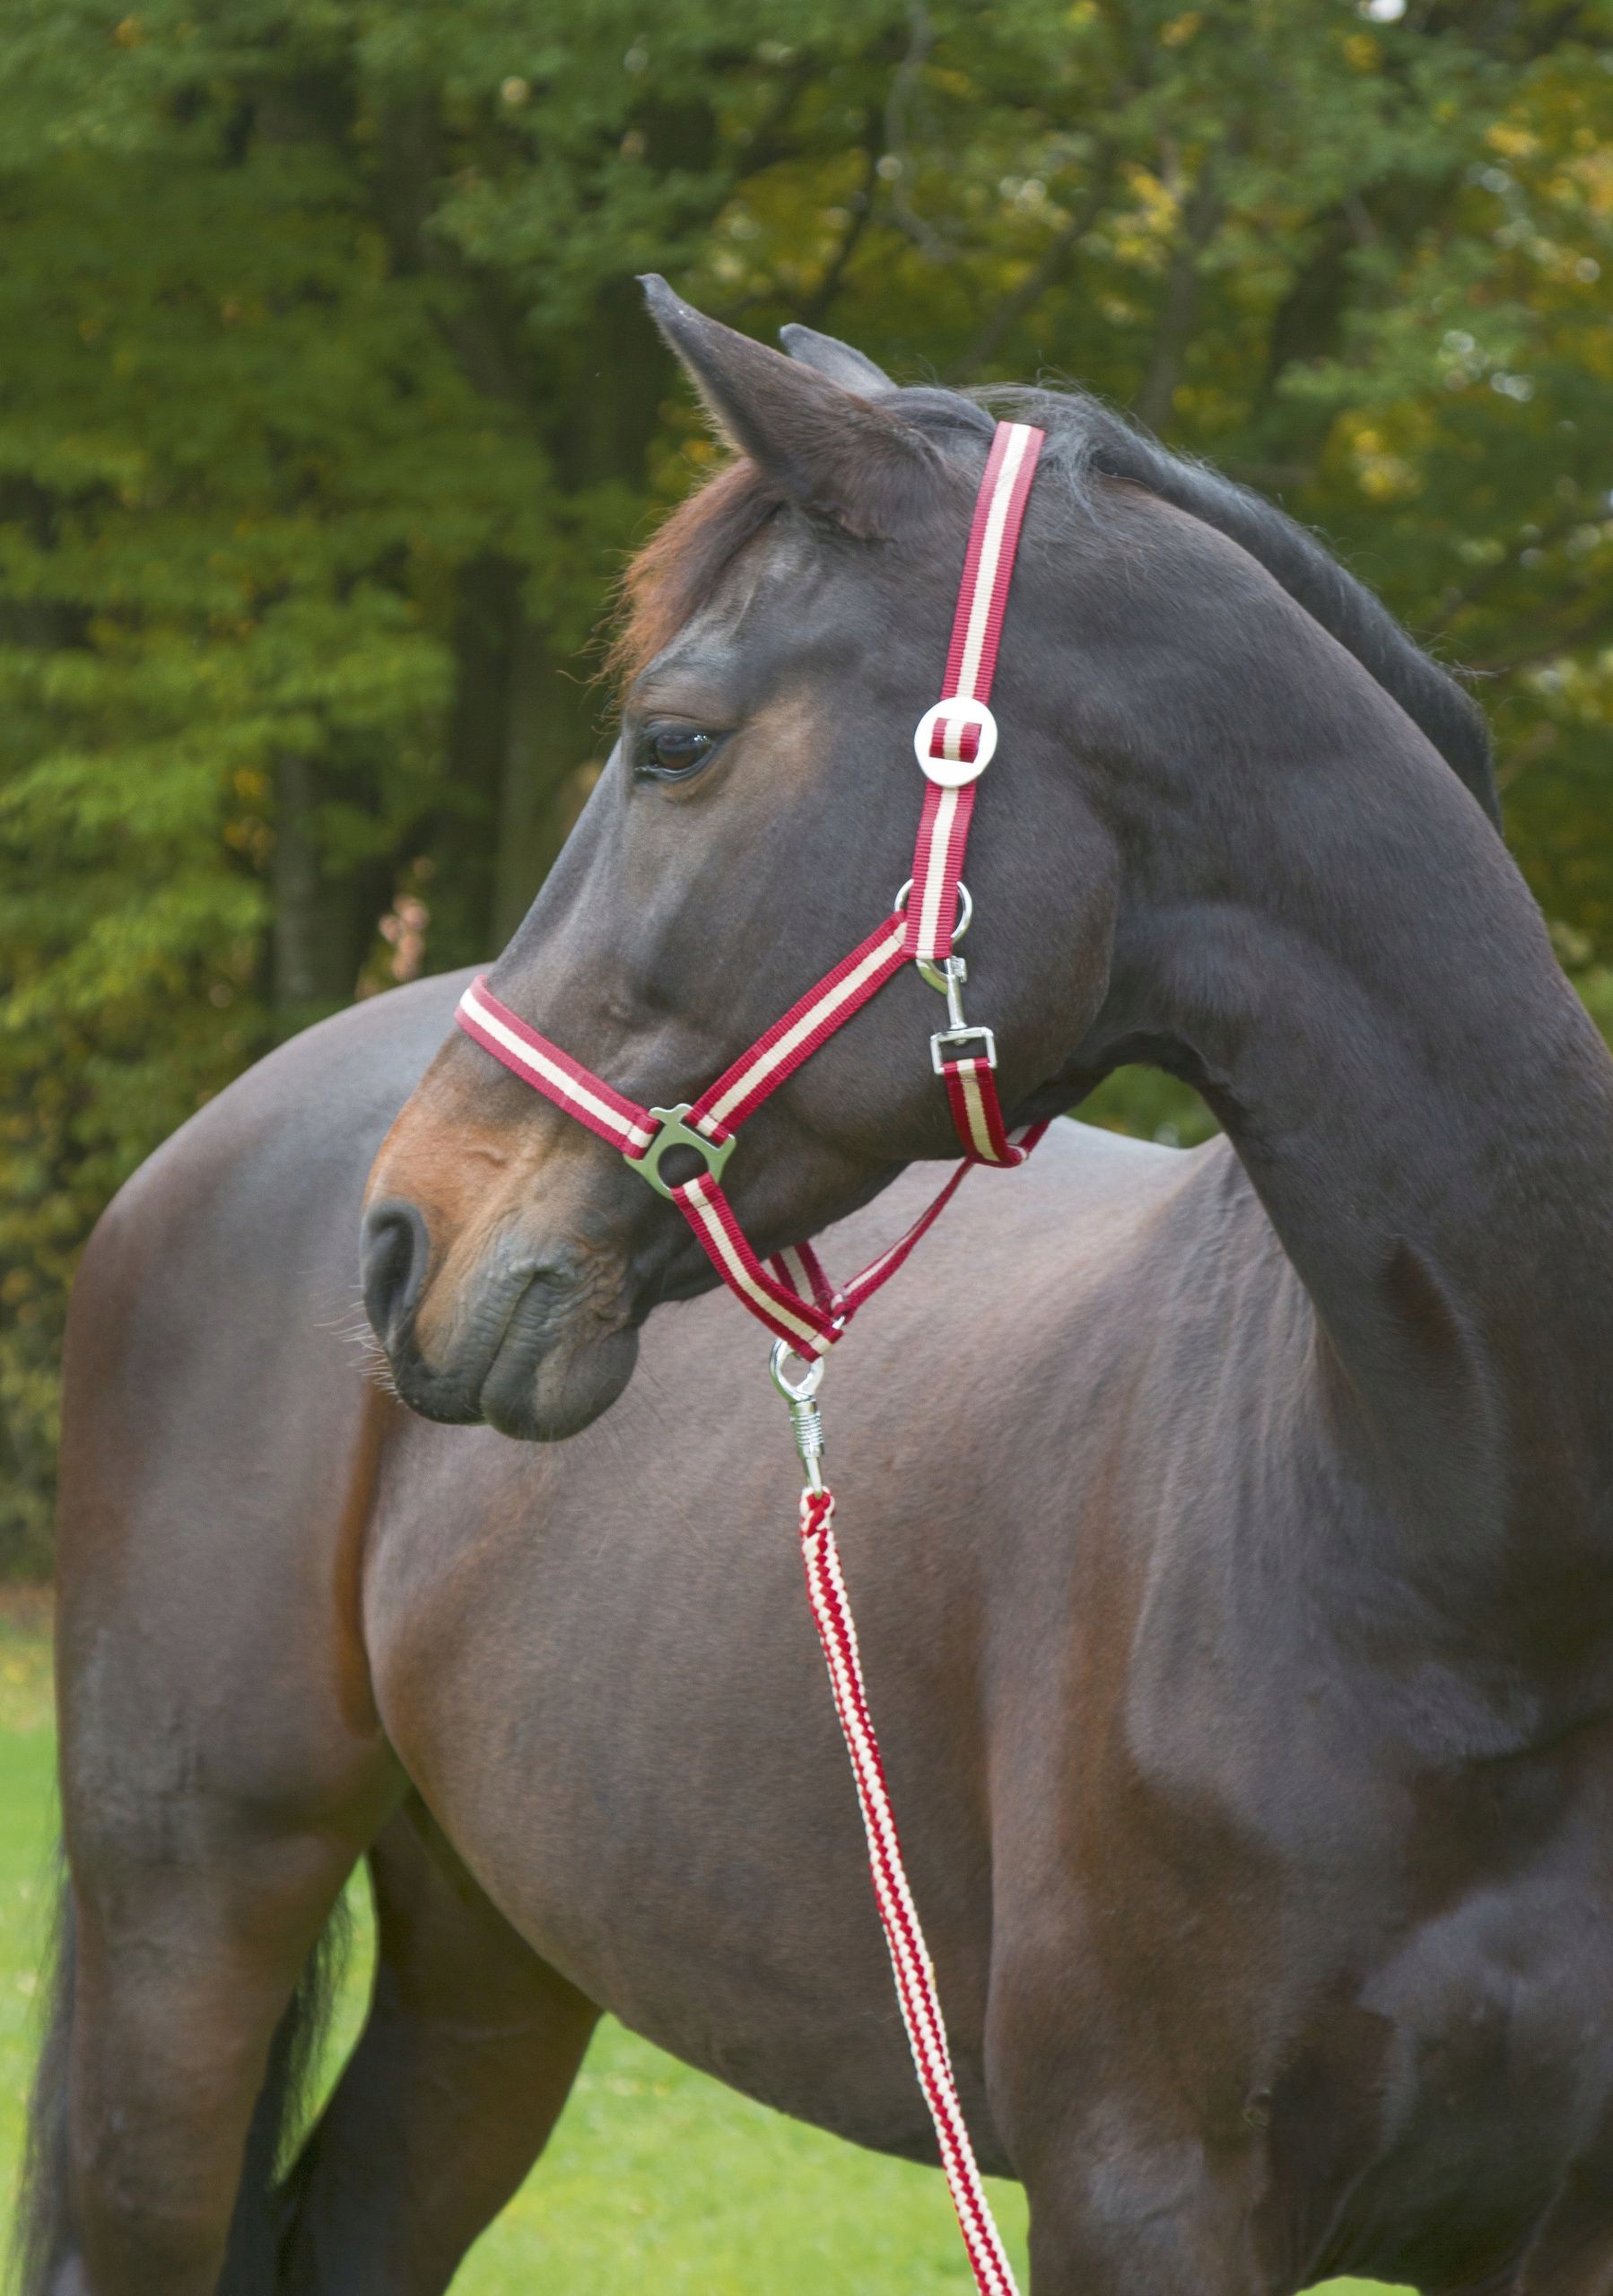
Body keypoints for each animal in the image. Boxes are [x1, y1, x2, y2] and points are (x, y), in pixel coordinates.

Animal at [21, 276, 1613, 2296]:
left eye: (674, 741)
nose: (402, 1243)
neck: (1477, 1568)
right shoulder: (1144, 2191)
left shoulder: (1558, 2223)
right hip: (189, 1920)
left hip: (490, 1960)